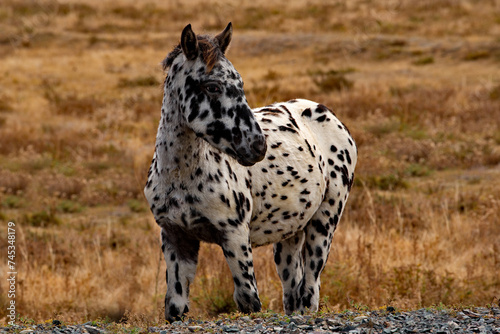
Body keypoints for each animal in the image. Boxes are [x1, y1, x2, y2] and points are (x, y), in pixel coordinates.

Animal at [143, 22, 358, 320]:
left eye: (240, 83)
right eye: (212, 86)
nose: (257, 146)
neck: (181, 178)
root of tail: (328, 114)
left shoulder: (235, 236)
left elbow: (248, 300)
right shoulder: (175, 236)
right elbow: (175, 306)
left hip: (323, 224)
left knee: (309, 292)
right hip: (290, 236)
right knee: (293, 295)